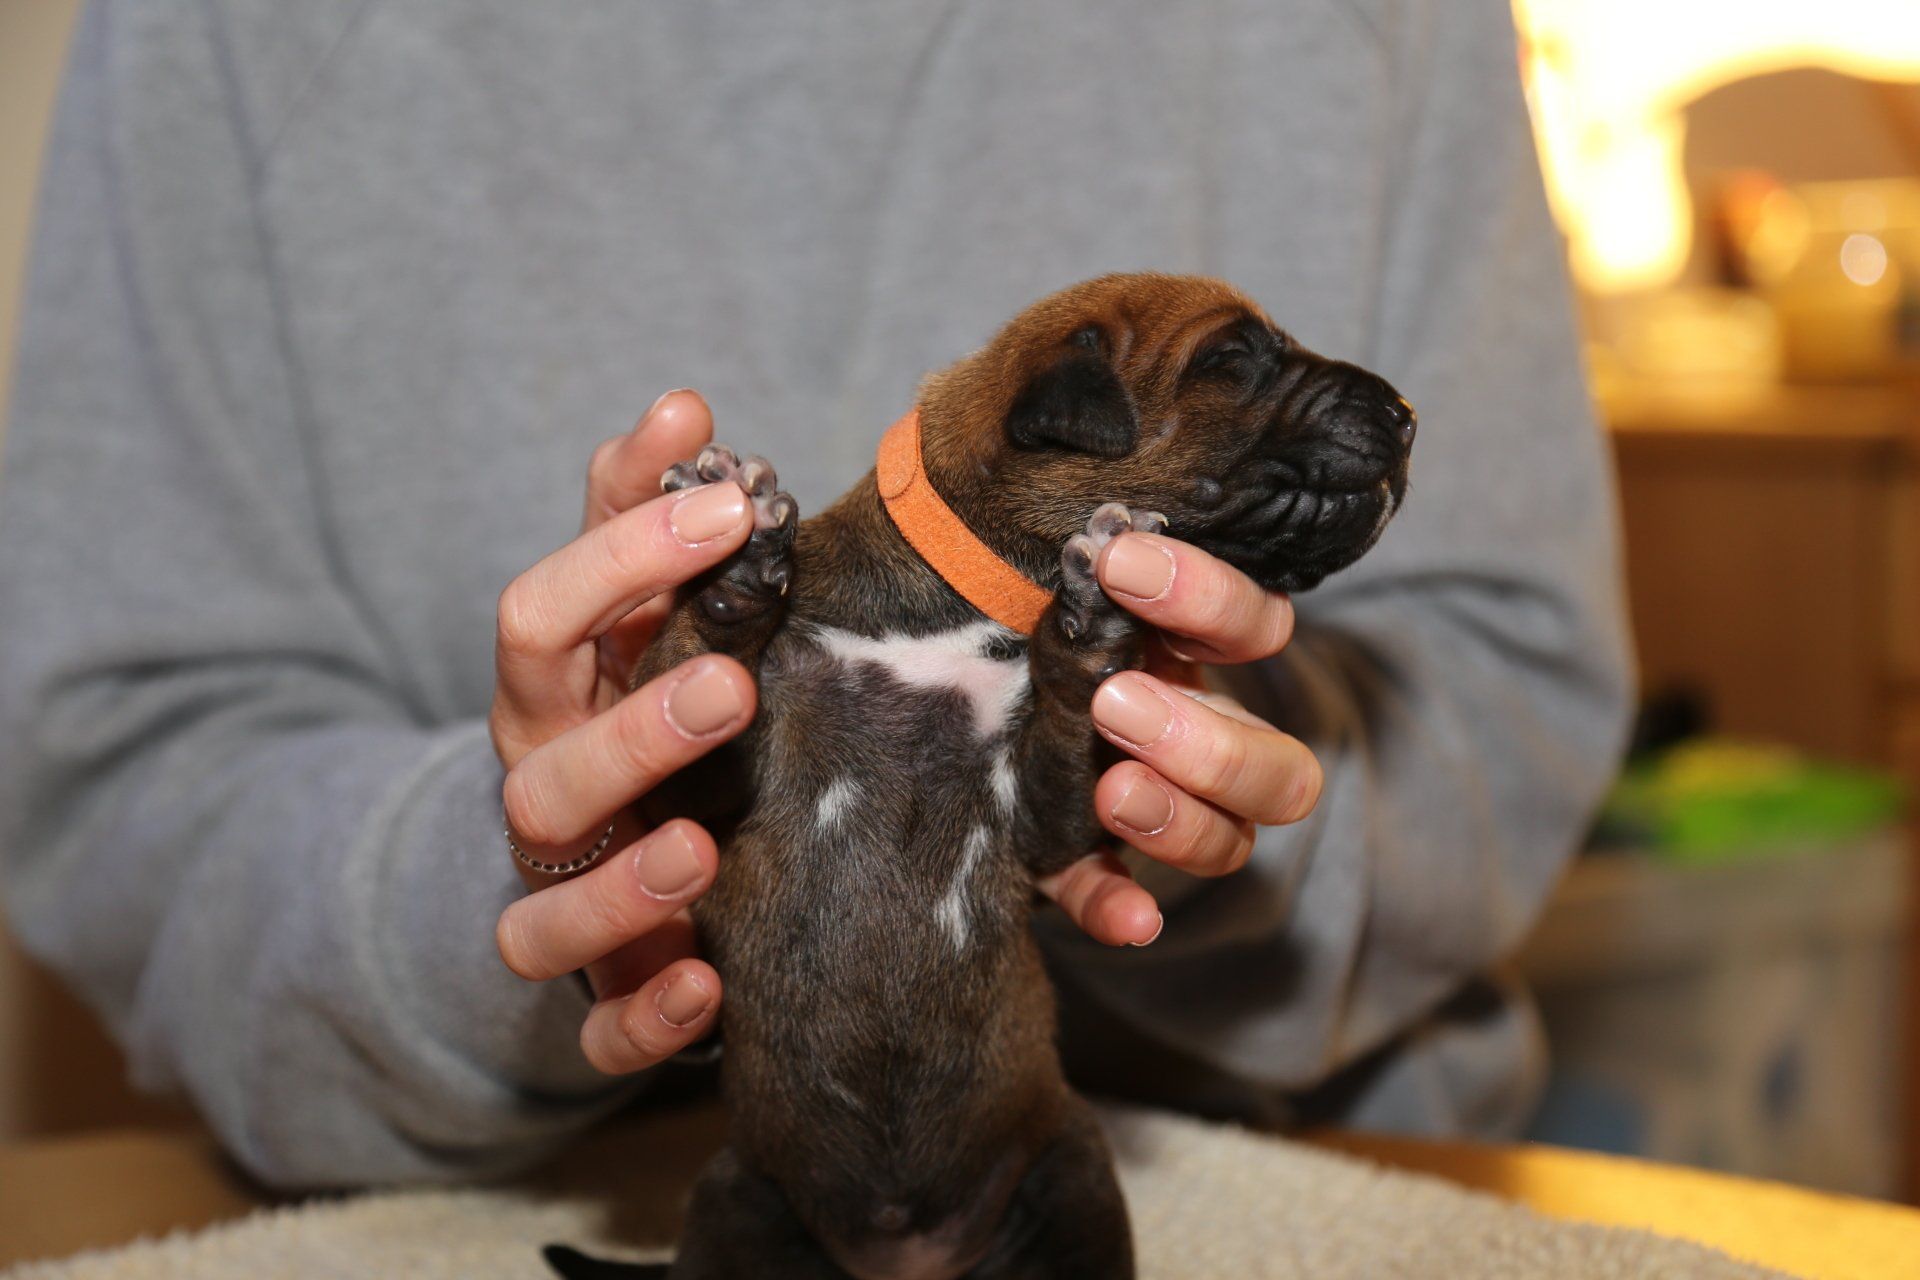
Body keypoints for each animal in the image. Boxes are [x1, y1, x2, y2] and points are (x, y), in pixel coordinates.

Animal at [544, 273, 1414, 1279]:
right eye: (1233, 360)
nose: (1406, 414)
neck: (956, 603)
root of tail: (909, 1260)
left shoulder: (1039, 810)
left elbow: (1068, 765)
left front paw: (1095, 620)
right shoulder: (706, 772)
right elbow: (695, 687)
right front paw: (731, 560)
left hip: (1069, 1165)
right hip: (740, 1196)